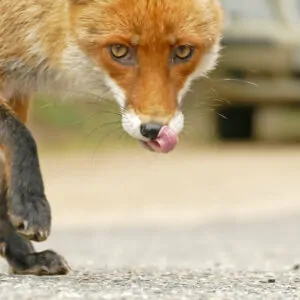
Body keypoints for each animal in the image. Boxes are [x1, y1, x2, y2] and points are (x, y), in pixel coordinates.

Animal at [0, 0, 223, 276]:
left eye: (183, 51)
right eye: (119, 50)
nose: (154, 129)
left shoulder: (17, 89)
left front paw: (23, 257)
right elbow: (22, 137)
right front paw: (31, 205)